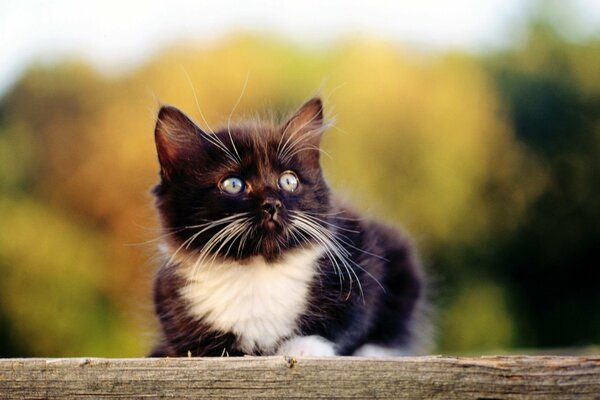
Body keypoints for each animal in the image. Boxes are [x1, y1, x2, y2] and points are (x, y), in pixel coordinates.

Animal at [152, 98, 428, 358]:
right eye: (233, 184)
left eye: (288, 181)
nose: (272, 204)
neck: (258, 271)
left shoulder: (362, 251)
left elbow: (353, 318)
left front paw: (305, 347)